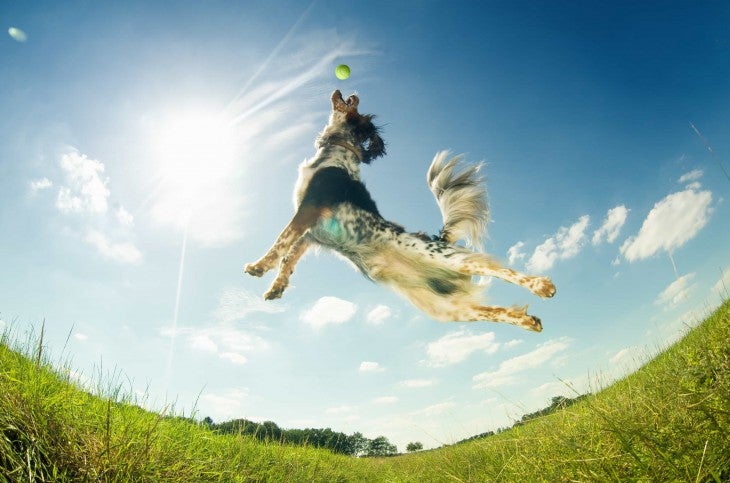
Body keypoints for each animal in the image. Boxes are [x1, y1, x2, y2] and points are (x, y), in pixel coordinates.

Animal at [242, 90, 556, 332]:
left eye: (356, 106)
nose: (351, 91)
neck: (336, 155)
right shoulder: (314, 233)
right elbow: (290, 256)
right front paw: (276, 286)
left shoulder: (310, 208)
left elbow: (281, 241)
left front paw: (258, 266)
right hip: (444, 308)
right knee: (490, 311)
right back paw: (528, 321)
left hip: (447, 258)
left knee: (496, 268)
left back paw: (541, 285)